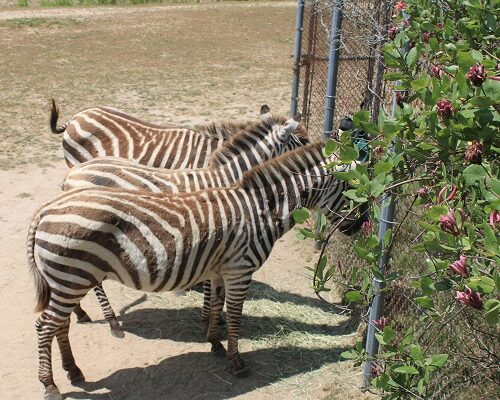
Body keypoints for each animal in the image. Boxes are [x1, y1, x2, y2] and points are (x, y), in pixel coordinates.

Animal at [27, 142, 362, 398]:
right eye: (351, 187)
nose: (359, 227)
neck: (260, 212)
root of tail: (45, 209)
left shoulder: (219, 269)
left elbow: (214, 306)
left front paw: (214, 342)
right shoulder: (240, 269)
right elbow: (235, 317)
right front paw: (237, 362)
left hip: (68, 280)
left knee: (60, 325)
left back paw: (73, 371)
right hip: (72, 276)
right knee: (45, 326)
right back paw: (50, 384)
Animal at [60, 112, 306, 334]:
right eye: (301, 145)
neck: (225, 180)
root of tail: (72, 175)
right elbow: (210, 285)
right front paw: (210, 318)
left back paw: (80, 313)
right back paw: (111, 321)